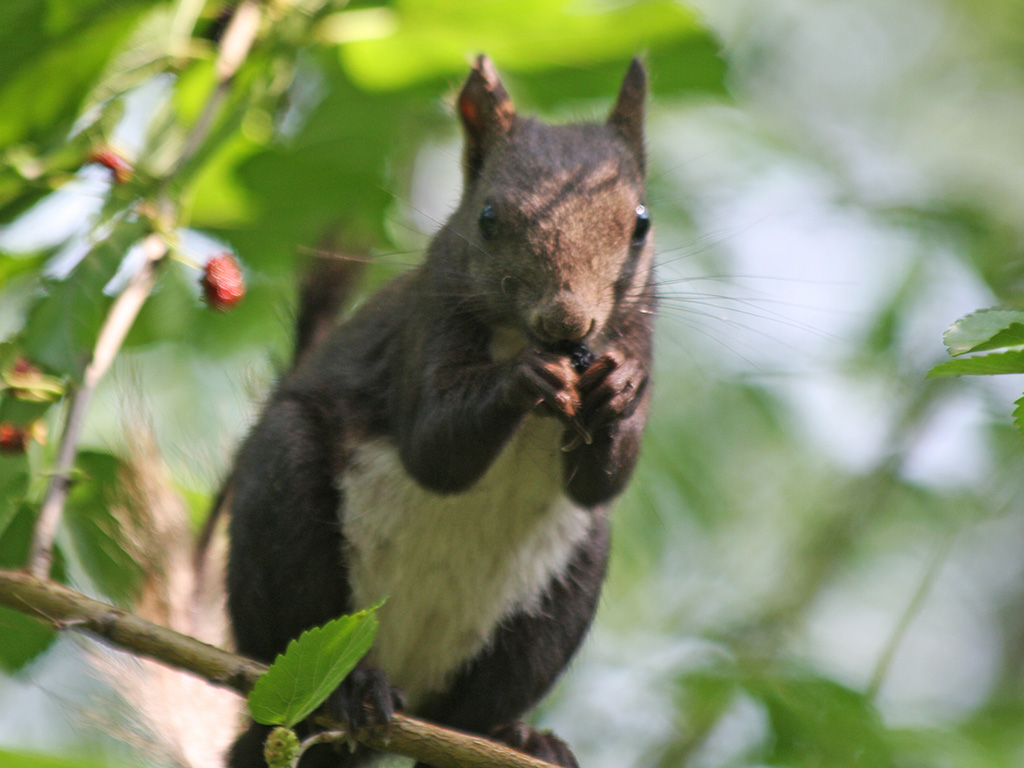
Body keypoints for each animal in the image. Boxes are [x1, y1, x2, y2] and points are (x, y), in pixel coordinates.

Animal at [224, 55, 655, 768]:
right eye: (486, 217)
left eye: (642, 221)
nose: (567, 321)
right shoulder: (427, 321)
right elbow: (436, 450)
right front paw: (524, 377)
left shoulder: (641, 328)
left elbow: (604, 482)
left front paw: (619, 387)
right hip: (283, 527)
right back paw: (355, 690)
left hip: (558, 595)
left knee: (471, 711)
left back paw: (513, 736)